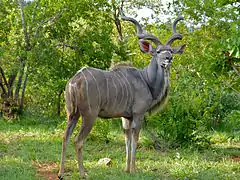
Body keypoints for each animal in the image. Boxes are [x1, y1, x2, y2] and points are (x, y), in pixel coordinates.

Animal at [57, 8, 186, 179]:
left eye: (171, 51)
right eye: (158, 51)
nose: (168, 58)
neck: (146, 79)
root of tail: (74, 81)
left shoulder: (126, 117)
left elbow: (127, 140)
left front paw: (126, 169)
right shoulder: (138, 114)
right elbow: (135, 140)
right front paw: (134, 169)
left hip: (72, 114)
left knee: (65, 137)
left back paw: (61, 173)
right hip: (89, 115)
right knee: (78, 141)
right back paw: (83, 174)